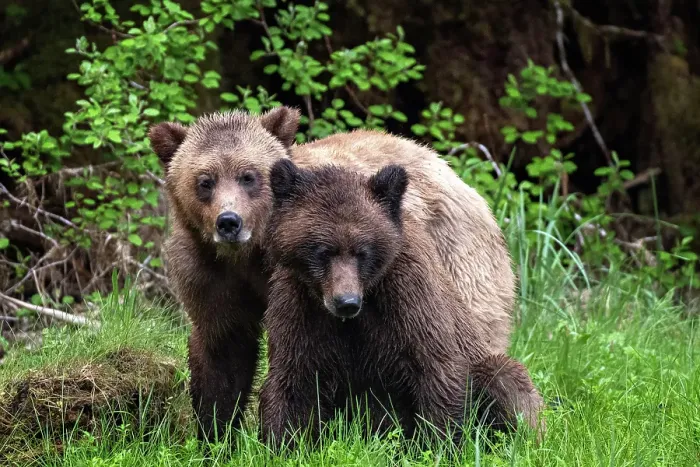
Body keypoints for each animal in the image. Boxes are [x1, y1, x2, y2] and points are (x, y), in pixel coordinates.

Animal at [148, 106, 516, 441]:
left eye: (248, 176)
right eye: (205, 181)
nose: (229, 222)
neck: (249, 257)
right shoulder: (209, 274)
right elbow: (222, 350)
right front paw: (216, 437)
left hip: (457, 264)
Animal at [258, 159, 545, 449]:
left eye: (363, 251)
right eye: (323, 251)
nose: (346, 302)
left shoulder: (408, 296)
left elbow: (436, 366)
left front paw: (440, 445)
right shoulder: (299, 305)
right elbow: (293, 379)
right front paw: (282, 443)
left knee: (503, 378)